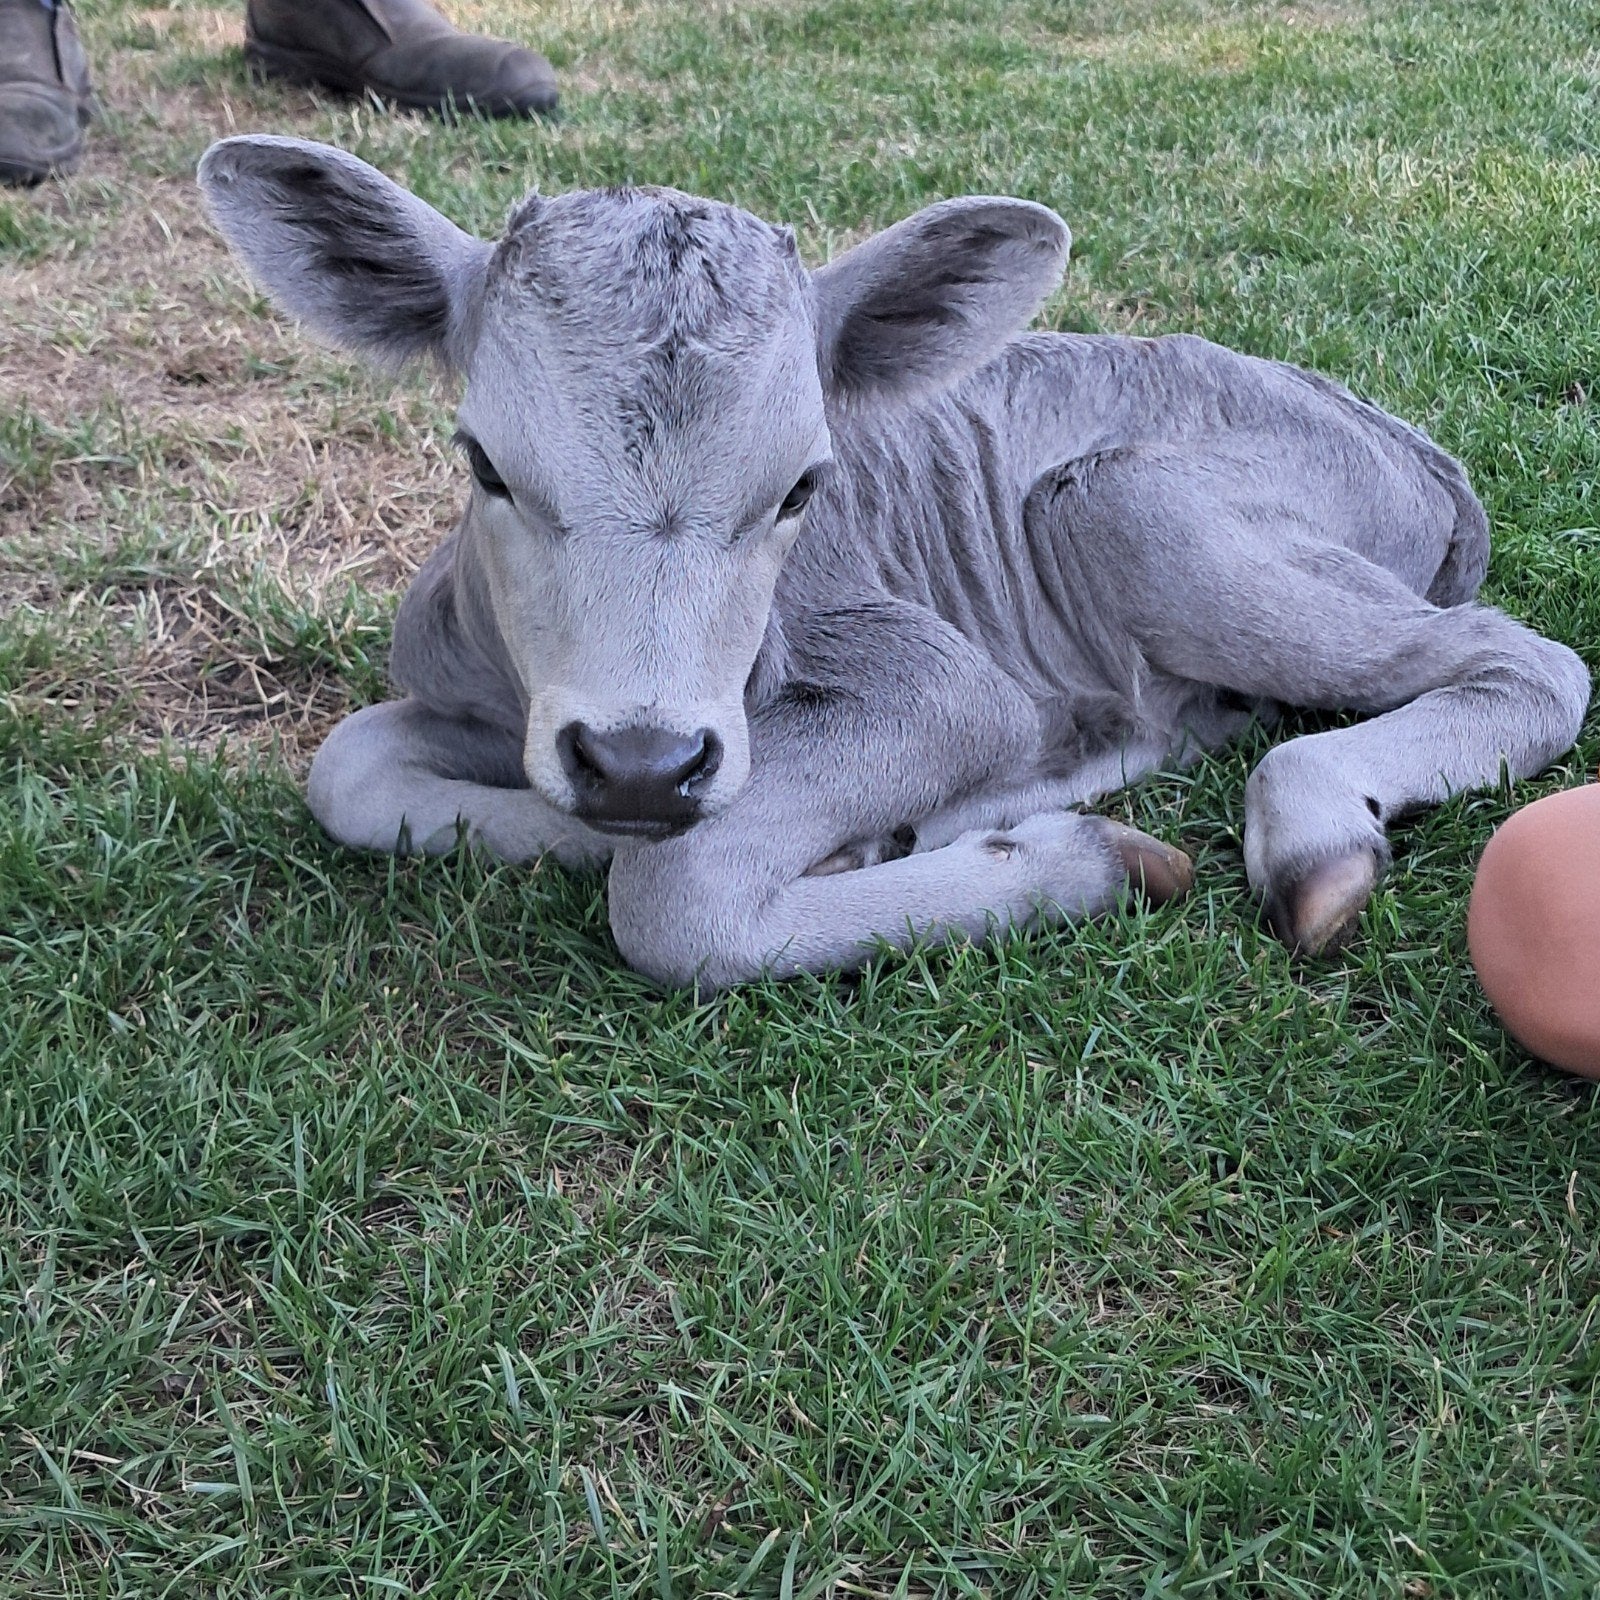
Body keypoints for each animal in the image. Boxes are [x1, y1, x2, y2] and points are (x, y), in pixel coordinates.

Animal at [197, 135, 1591, 989]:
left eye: (803, 486)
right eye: (485, 462)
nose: (642, 763)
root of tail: (1400, 436)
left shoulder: (938, 681)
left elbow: (677, 900)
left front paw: (1065, 860)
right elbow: (347, 766)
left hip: (1125, 499)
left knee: (1523, 661)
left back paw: (1307, 835)